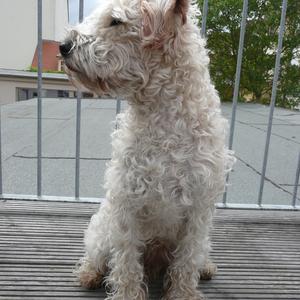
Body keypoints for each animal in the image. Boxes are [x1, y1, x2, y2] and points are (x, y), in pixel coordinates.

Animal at [60, 0, 234, 298]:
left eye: (115, 21)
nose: (63, 45)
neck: (165, 123)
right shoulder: (126, 202)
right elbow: (126, 264)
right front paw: (127, 294)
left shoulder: (199, 209)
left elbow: (186, 261)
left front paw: (183, 293)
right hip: (102, 229)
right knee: (96, 255)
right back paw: (89, 273)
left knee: (196, 256)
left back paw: (206, 267)